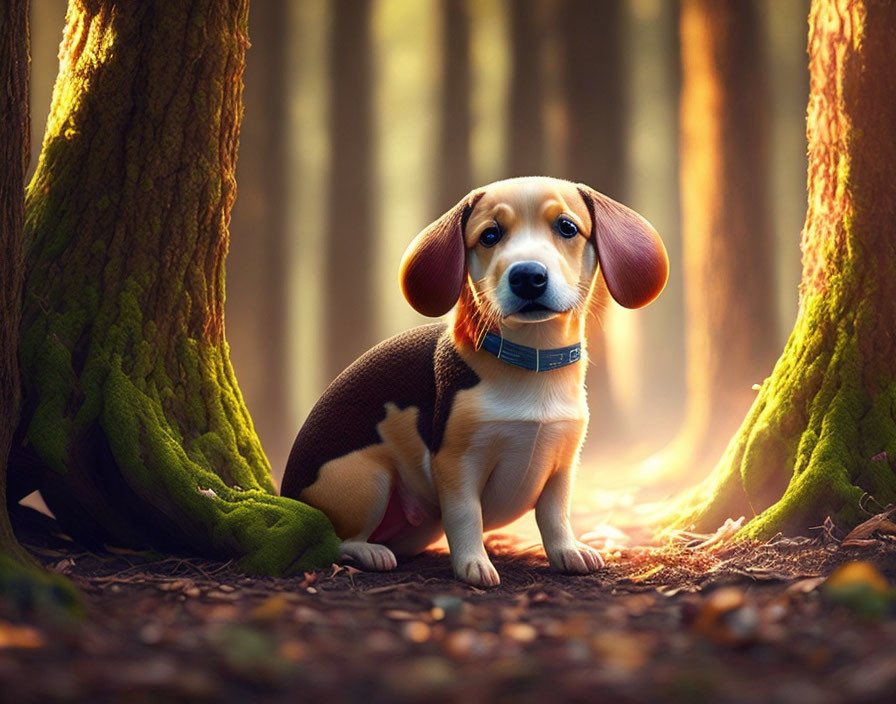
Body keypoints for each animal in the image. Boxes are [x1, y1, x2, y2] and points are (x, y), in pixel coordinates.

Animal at [280, 179, 664, 584]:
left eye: (567, 227)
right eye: (489, 235)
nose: (528, 276)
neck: (532, 362)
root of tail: (289, 494)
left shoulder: (562, 464)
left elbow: (555, 515)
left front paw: (567, 552)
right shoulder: (457, 463)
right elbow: (465, 515)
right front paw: (473, 564)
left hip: (416, 525)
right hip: (368, 477)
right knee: (336, 540)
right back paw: (370, 553)